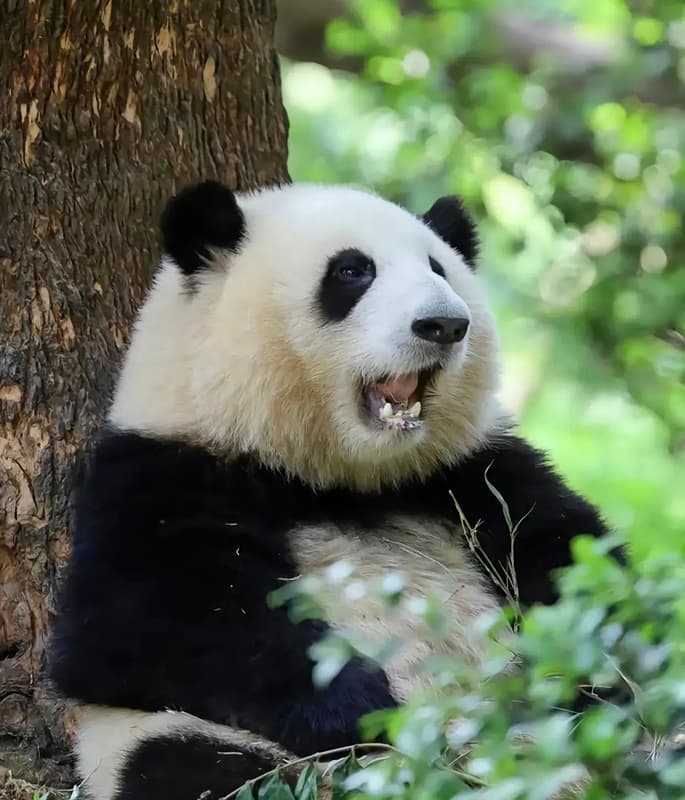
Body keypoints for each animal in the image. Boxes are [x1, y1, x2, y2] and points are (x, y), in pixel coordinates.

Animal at [50, 180, 612, 800]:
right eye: (351, 271)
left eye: (438, 267)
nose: (444, 324)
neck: (344, 478)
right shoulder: (161, 470)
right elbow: (129, 626)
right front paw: (364, 707)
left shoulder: (471, 473)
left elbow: (564, 556)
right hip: (191, 744)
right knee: (190, 765)